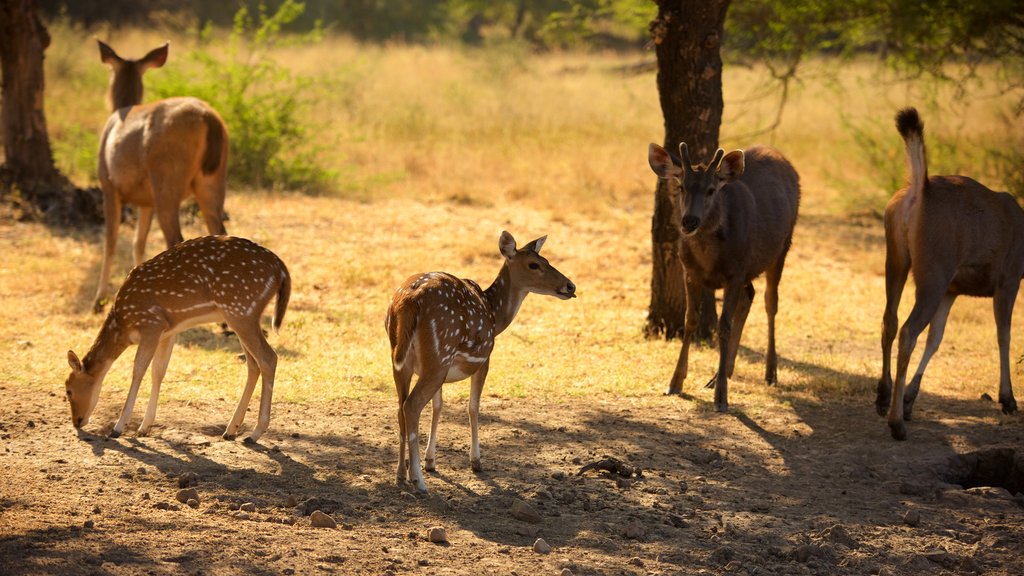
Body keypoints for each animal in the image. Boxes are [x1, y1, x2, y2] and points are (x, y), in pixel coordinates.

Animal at [64, 233, 290, 438]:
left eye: (68, 390)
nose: (77, 421)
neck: (123, 325)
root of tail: (281, 269)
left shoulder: (151, 324)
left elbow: (138, 370)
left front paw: (118, 428)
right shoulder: (168, 331)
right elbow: (158, 371)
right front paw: (144, 427)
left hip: (240, 310)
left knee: (268, 358)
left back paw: (255, 433)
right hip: (242, 315)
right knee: (253, 364)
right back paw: (231, 430)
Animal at [94, 40, 230, 311]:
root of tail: (208, 118)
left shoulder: (108, 184)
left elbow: (111, 241)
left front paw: (99, 300)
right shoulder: (145, 200)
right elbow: (138, 243)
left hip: (167, 178)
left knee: (176, 239)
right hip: (213, 180)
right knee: (220, 231)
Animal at [385, 230, 577, 491]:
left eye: (546, 260)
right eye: (534, 264)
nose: (570, 285)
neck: (495, 315)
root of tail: (409, 301)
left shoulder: (438, 371)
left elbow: (438, 405)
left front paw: (431, 461)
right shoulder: (484, 358)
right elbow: (473, 406)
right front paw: (476, 461)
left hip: (402, 358)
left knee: (400, 408)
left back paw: (399, 475)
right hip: (439, 353)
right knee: (411, 406)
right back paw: (418, 481)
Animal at [647, 139, 798, 409]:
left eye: (711, 190)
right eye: (681, 186)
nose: (689, 221)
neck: (709, 260)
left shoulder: (735, 273)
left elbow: (724, 325)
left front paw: (721, 398)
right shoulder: (689, 271)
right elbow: (690, 319)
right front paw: (675, 382)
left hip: (782, 246)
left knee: (771, 302)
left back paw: (770, 372)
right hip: (751, 267)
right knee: (750, 295)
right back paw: (721, 374)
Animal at [872, 107, 1024, 438]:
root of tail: (919, 190)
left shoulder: (953, 290)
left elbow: (936, 338)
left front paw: (910, 399)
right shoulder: (1008, 279)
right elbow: (1004, 334)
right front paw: (1007, 399)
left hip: (897, 259)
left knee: (890, 320)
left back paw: (883, 398)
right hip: (933, 272)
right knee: (908, 330)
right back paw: (896, 424)